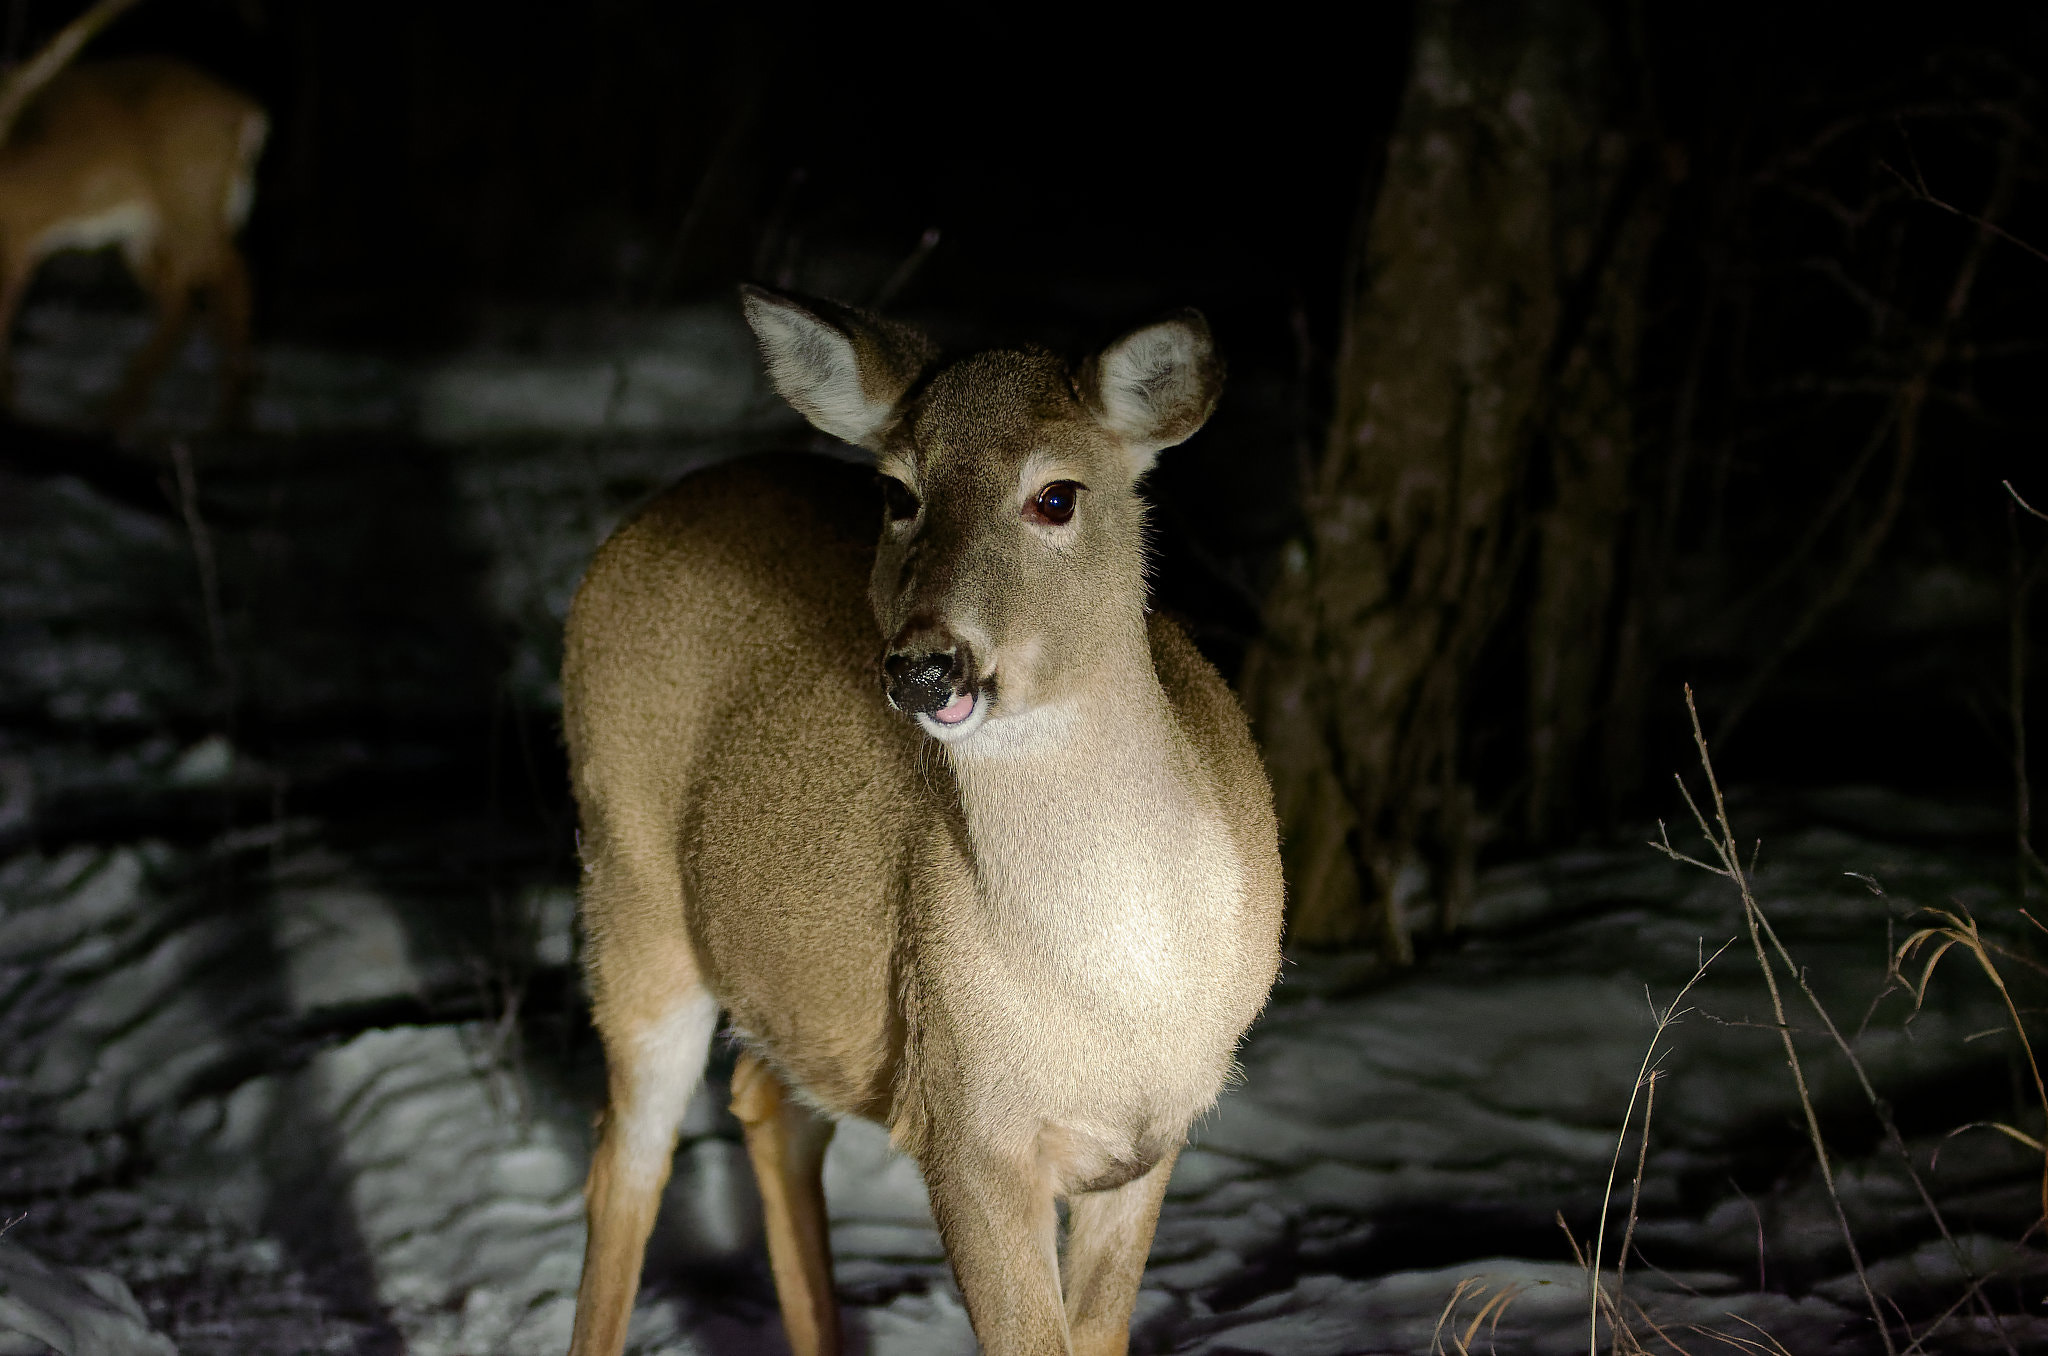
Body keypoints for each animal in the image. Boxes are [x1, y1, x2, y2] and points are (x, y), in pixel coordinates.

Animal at [0, 0, 266, 430]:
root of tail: (249, 113)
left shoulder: (15, 236)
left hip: (189, 198)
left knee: (223, 275)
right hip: (147, 228)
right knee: (187, 291)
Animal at [565, 288, 1277, 1356]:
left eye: (1057, 496)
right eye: (898, 493)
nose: (925, 666)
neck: (1115, 994)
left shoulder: (1151, 1137)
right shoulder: (968, 1129)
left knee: (768, 1101)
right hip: (629, 888)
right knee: (627, 1161)